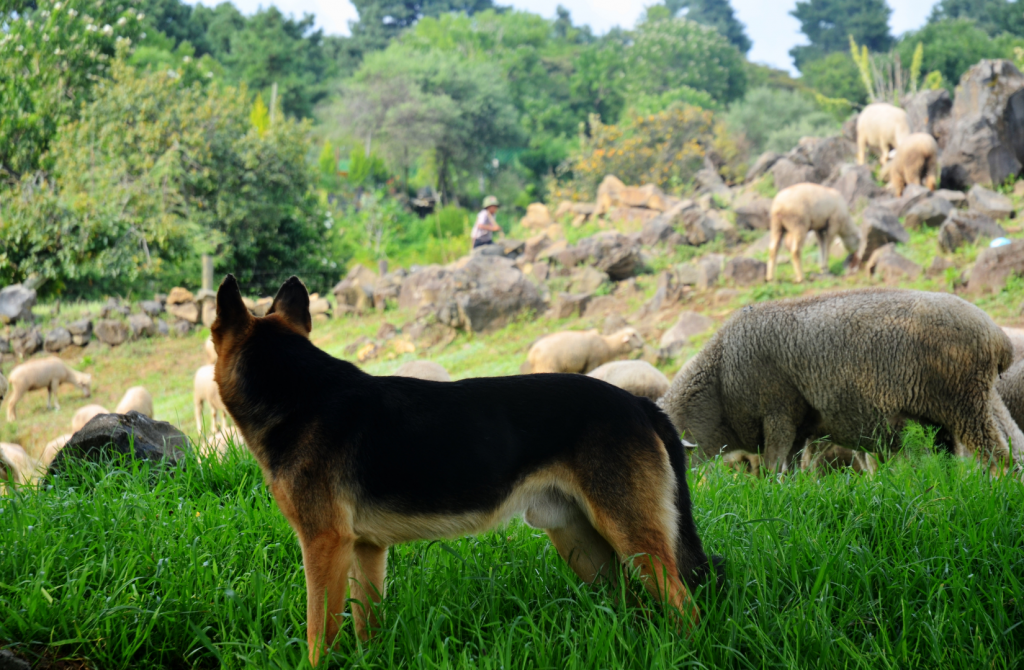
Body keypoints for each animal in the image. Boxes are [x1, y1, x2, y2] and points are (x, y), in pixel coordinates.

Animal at [659, 289, 1020, 474]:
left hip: (964, 402)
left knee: (997, 454)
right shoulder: (800, 426)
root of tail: (998, 337)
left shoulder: (778, 411)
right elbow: (792, 464)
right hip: (950, 411)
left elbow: (775, 464)